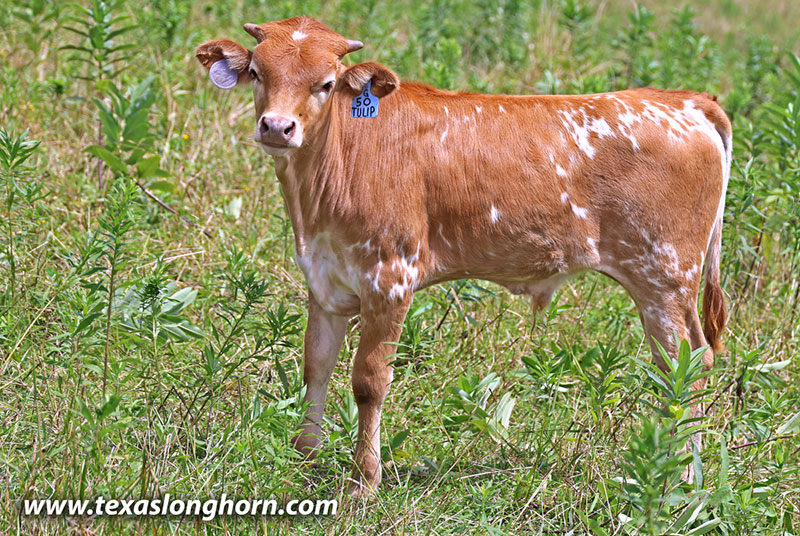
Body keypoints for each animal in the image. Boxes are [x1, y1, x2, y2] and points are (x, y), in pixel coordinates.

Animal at [196, 16, 730, 497]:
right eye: (258, 73)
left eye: (326, 84)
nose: (276, 127)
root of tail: (684, 100)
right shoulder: (325, 282)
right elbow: (316, 367)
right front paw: (302, 464)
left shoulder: (390, 279)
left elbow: (369, 380)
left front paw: (364, 484)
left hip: (664, 277)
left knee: (688, 365)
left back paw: (679, 481)